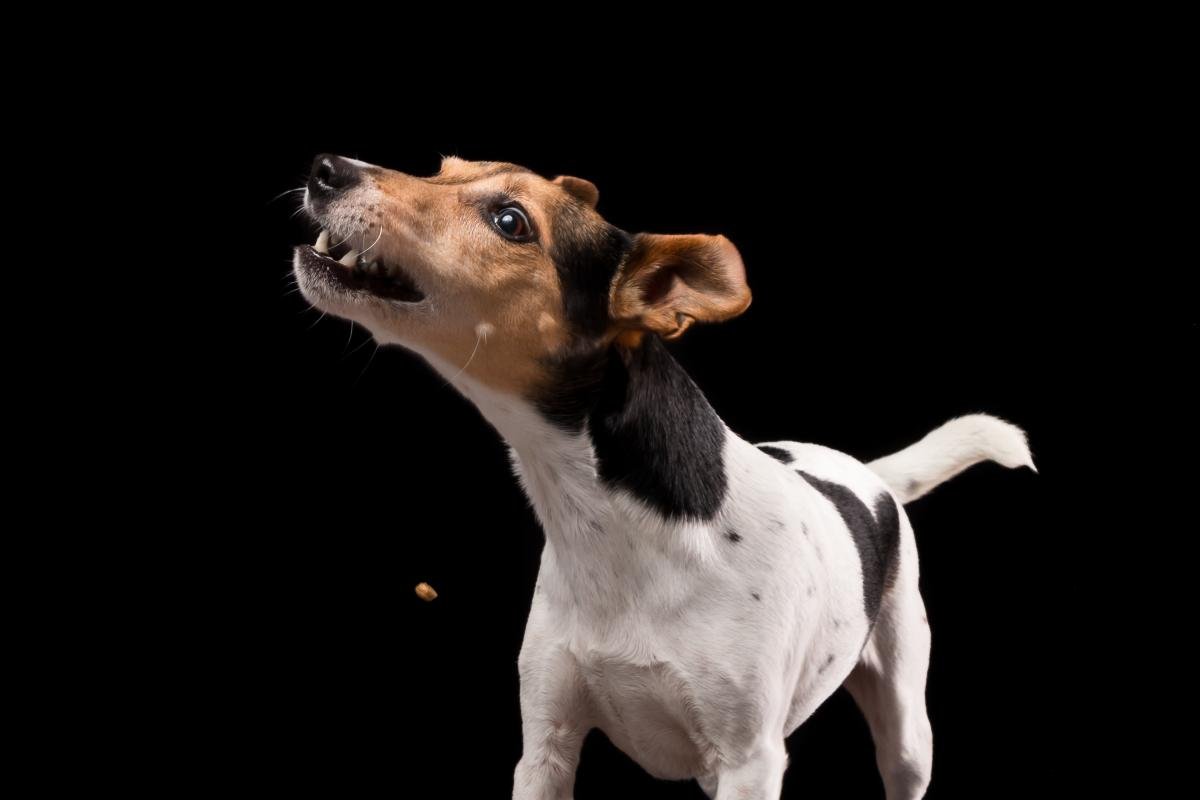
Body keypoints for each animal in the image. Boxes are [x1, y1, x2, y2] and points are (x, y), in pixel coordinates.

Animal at [291, 154, 1036, 799]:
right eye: (442, 168)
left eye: (510, 221)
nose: (327, 169)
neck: (620, 528)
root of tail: (866, 472)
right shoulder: (547, 745)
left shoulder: (750, 762)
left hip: (907, 726)